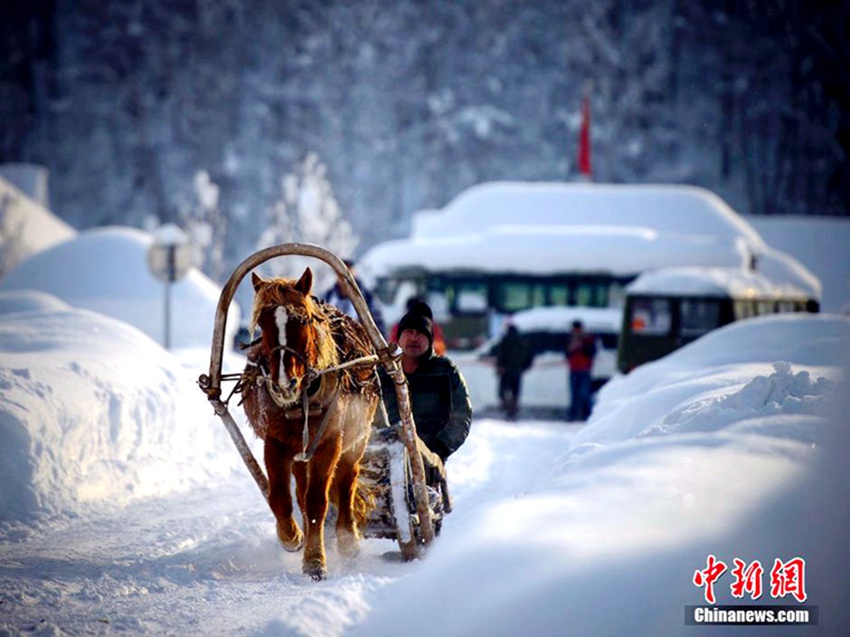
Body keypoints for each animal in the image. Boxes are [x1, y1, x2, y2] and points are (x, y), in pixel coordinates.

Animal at [242, 266, 380, 580]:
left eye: (302, 320)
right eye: (262, 324)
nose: (284, 384)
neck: (302, 401)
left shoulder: (329, 443)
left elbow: (318, 501)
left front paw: (315, 560)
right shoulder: (276, 443)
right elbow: (281, 498)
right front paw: (292, 536)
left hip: (356, 439)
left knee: (347, 479)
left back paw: (347, 537)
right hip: (300, 453)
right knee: (301, 494)